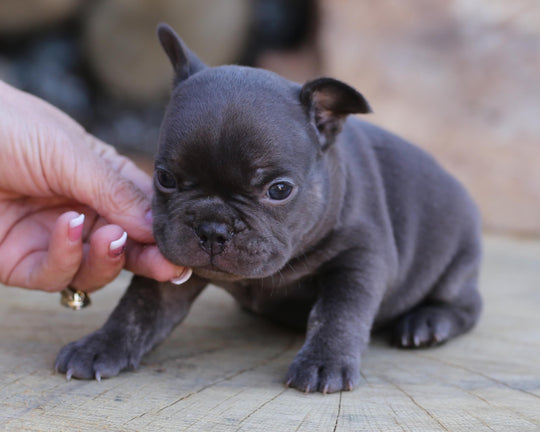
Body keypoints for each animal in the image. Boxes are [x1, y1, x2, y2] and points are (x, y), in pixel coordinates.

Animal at [57, 24, 484, 394]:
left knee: (466, 305)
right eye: (164, 178)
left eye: (279, 190)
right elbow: (138, 308)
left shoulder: (360, 259)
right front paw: (100, 345)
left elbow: (339, 314)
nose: (213, 228)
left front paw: (324, 362)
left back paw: (427, 322)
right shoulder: (170, 272)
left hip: (458, 260)